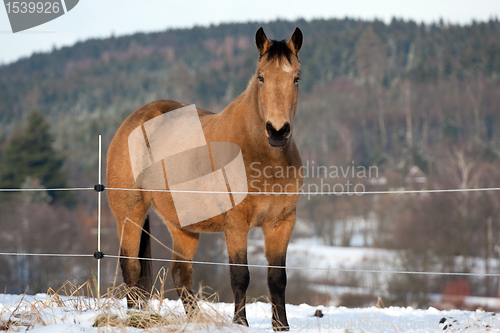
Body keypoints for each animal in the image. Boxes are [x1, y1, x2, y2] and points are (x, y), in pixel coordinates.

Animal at [107, 26, 302, 330]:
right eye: (261, 77)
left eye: (296, 78)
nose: (278, 131)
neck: (260, 156)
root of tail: (133, 121)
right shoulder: (236, 225)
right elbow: (240, 276)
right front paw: (240, 324)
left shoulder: (282, 222)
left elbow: (277, 279)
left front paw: (281, 326)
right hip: (130, 214)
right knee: (131, 267)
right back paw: (136, 320)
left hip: (182, 226)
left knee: (180, 273)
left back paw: (194, 320)